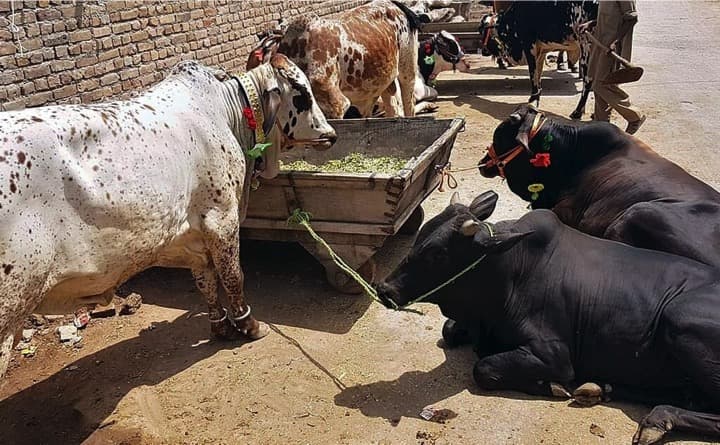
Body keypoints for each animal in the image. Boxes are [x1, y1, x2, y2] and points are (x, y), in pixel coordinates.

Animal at [0, 54, 336, 372]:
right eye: (302, 94)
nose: (331, 134)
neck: (225, 114)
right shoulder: (222, 218)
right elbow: (233, 277)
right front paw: (249, 325)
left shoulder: (194, 235)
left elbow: (206, 281)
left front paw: (222, 327)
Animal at [376, 191, 720, 445]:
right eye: (419, 236)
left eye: (438, 254)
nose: (384, 289)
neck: (507, 276)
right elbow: (449, 332)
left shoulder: (554, 354)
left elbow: (484, 368)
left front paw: (554, 386)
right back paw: (601, 388)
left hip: (679, 318)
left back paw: (657, 419)